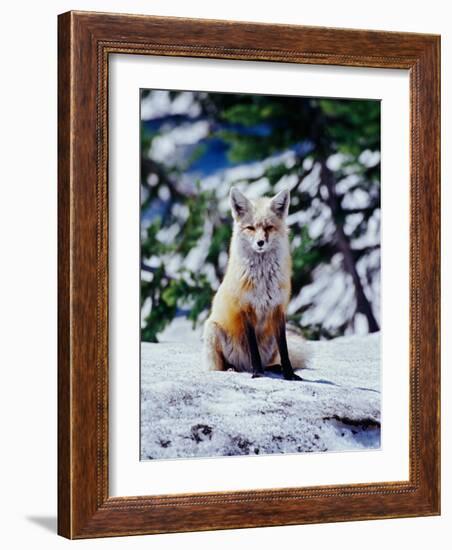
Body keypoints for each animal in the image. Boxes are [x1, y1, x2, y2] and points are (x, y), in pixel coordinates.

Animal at [204, 188, 308, 382]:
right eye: (251, 228)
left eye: (268, 227)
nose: (260, 243)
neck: (263, 280)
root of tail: (243, 366)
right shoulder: (246, 308)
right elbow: (253, 349)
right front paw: (258, 373)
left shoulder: (278, 308)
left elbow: (284, 350)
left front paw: (289, 374)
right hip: (213, 330)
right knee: (222, 367)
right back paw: (233, 369)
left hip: (270, 340)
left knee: (271, 360)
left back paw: (274, 368)